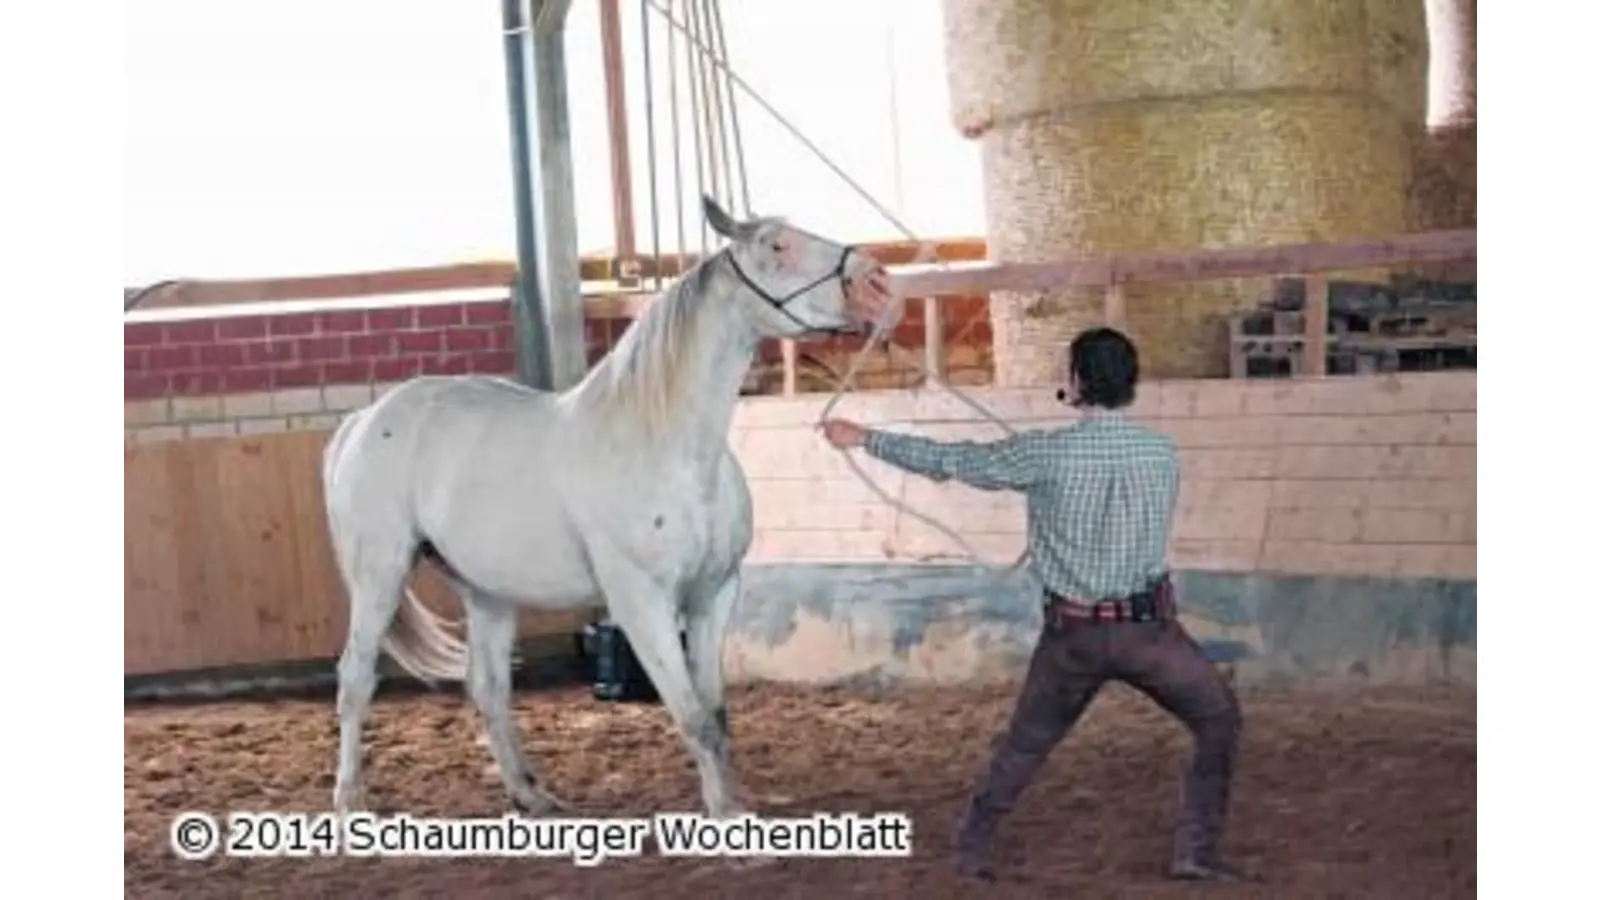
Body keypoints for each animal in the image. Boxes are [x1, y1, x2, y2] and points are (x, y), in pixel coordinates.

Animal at [315, 194, 889, 813]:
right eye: (776, 245)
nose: (873, 280)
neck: (668, 448)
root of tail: (363, 422)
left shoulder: (714, 594)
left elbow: (716, 716)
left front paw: (730, 808)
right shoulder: (642, 603)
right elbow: (695, 719)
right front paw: (726, 821)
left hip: (487, 592)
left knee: (488, 686)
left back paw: (531, 796)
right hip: (380, 574)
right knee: (355, 679)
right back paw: (349, 802)